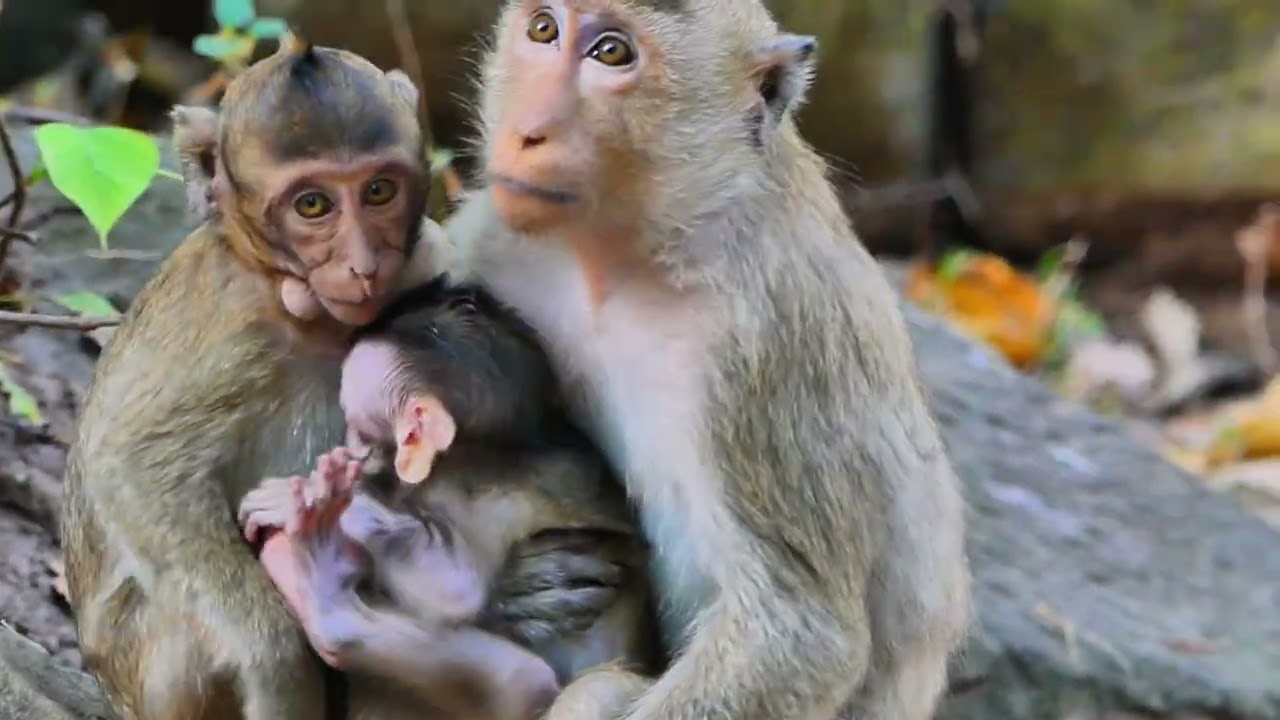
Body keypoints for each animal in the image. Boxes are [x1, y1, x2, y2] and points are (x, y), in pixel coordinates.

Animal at [236, 276, 660, 720]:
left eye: (357, 430)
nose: (346, 443)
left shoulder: (470, 493)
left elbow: (455, 584)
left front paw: (309, 500)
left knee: (565, 687)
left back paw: (326, 586)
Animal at [398, 1, 974, 718]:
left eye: (612, 53)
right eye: (543, 30)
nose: (527, 132)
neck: (634, 254)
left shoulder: (764, 344)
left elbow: (802, 635)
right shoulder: (492, 237)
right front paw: (521, 589)